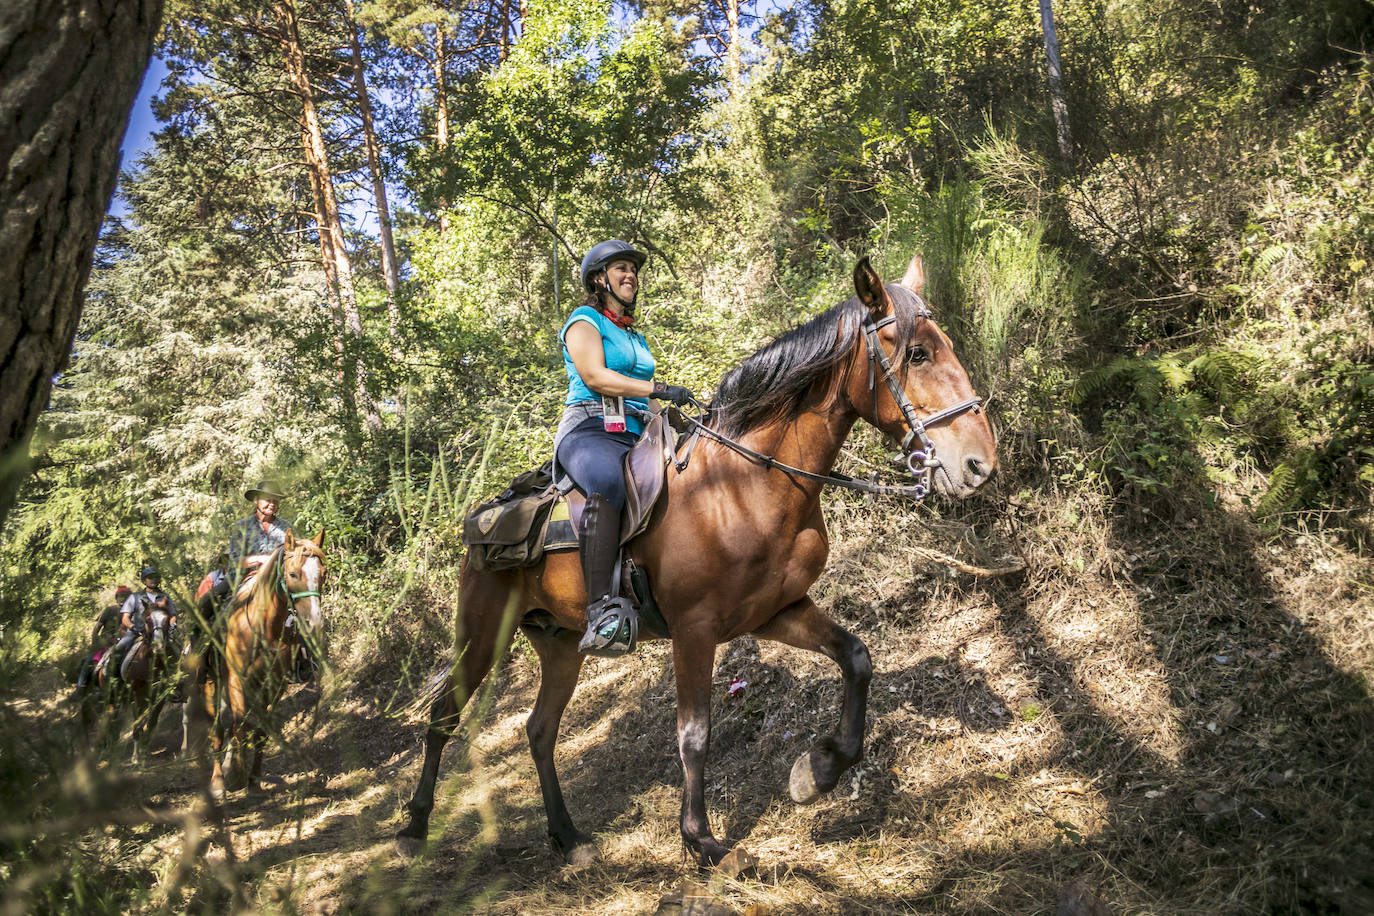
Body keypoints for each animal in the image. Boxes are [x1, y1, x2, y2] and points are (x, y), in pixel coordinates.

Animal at [184, 530, 325, 802]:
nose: (314, 623)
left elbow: (260, 730)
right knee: (217, 728)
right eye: (293, 574)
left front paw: (254, 779)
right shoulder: (236, 681)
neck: (264, 627)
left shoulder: (275, 685)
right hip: (210, 682)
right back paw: (218, 781)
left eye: (323, 574)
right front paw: (237, 776)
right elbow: (239, 725)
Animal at [392, 256, 994, 867]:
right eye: (917, 353)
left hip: (559, 644)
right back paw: (414, 827)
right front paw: (703, 840)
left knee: (539, 730)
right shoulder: (694, 629)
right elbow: (695, 736)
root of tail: (480, 524)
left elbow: (857, 658)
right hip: (483, 635)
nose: (980, 464)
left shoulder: (778, 611)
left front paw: (817, 771)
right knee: (443, 718)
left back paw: (568, 836)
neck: (746, 484)